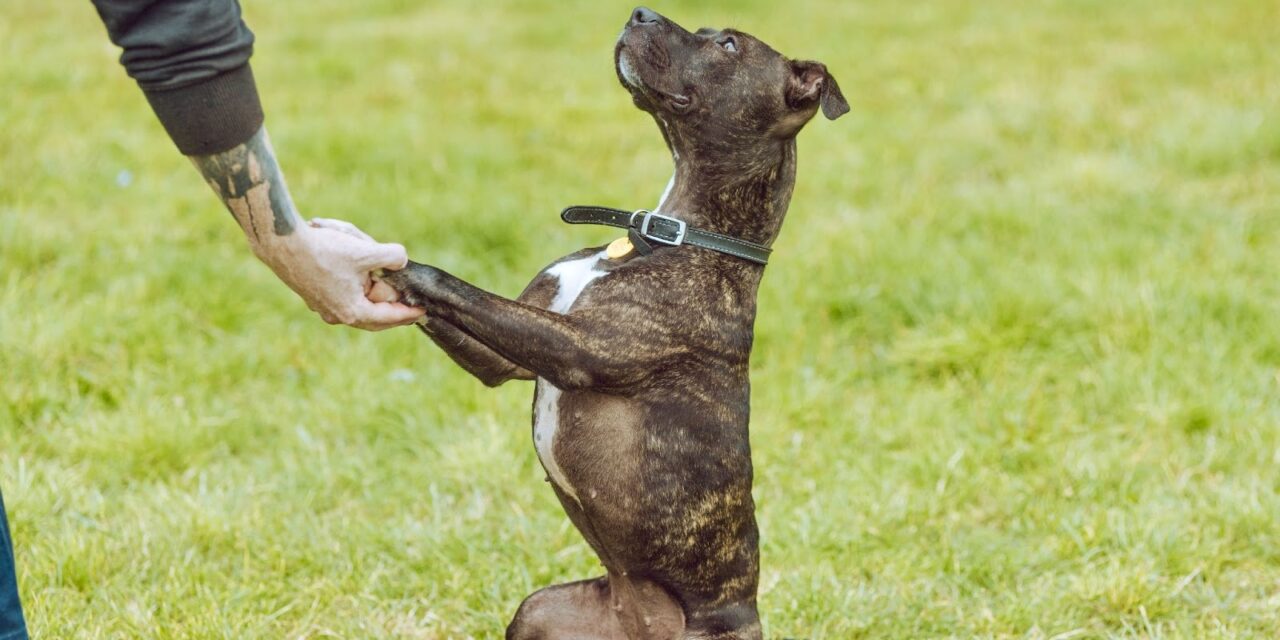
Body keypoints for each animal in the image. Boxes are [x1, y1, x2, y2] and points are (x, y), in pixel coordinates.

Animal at [378, 7, 849, 637]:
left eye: (728, 45)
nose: (640, 12)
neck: (673, 236)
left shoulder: (577, 349)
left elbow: (453, 286)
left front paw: (387, 266)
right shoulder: (505, 358)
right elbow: (459, 306)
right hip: (538, 609)